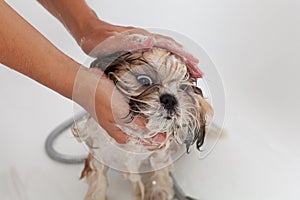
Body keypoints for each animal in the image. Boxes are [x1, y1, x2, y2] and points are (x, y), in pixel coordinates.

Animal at [72, 47, 213, 200]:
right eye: (144, 80)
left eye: (183, 87)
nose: (170, 99)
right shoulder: (99, 148)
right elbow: (98, 179)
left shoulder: (159, 153)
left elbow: (160, 172)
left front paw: (158, 192)